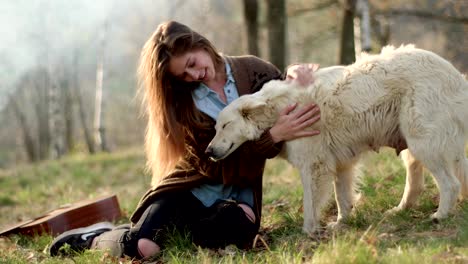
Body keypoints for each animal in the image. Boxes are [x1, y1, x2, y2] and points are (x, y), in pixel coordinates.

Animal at [207, 45, 468, 235]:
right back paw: (401, 210)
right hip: (416, 143)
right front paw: (342, 223)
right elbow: (342, 196)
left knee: (450, 183)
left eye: (226, 126)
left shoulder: (313, 165)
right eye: (216, 127)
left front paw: (308, 232)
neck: (278, 110)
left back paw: (440, 215)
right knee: (422, 181)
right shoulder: (341, 162)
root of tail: (456, 76)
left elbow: (311, 202)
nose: (209, 151)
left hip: (424, 141)